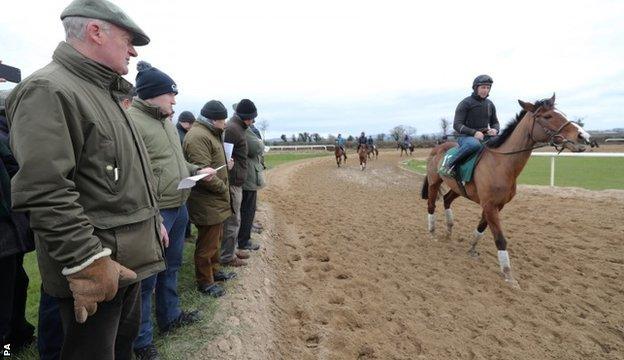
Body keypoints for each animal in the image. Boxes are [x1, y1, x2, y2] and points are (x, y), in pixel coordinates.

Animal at [420, 94, 588, 288]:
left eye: (563, 114)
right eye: (547, 116)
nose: (583, 137)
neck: (501, 164)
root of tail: (436, 148)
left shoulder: (496, 205)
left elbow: (481, 227)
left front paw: (472, 249)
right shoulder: (490, 205)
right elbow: (500, 238)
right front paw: (508, 275)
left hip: (457, 189)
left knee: (447, 200)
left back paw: (449, 231)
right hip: (434, 183)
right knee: (431, 205)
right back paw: (432, 233)